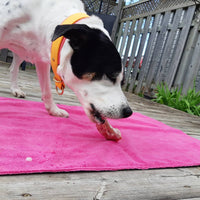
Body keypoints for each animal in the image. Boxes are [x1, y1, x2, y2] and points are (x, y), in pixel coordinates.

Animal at [0, 0, 133, 141]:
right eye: (111, 75)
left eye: (122, 81)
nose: (128, 112)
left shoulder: (42, 57)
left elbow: (47, 90)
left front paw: (53, 110)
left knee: (13, 68)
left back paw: (15, 89)